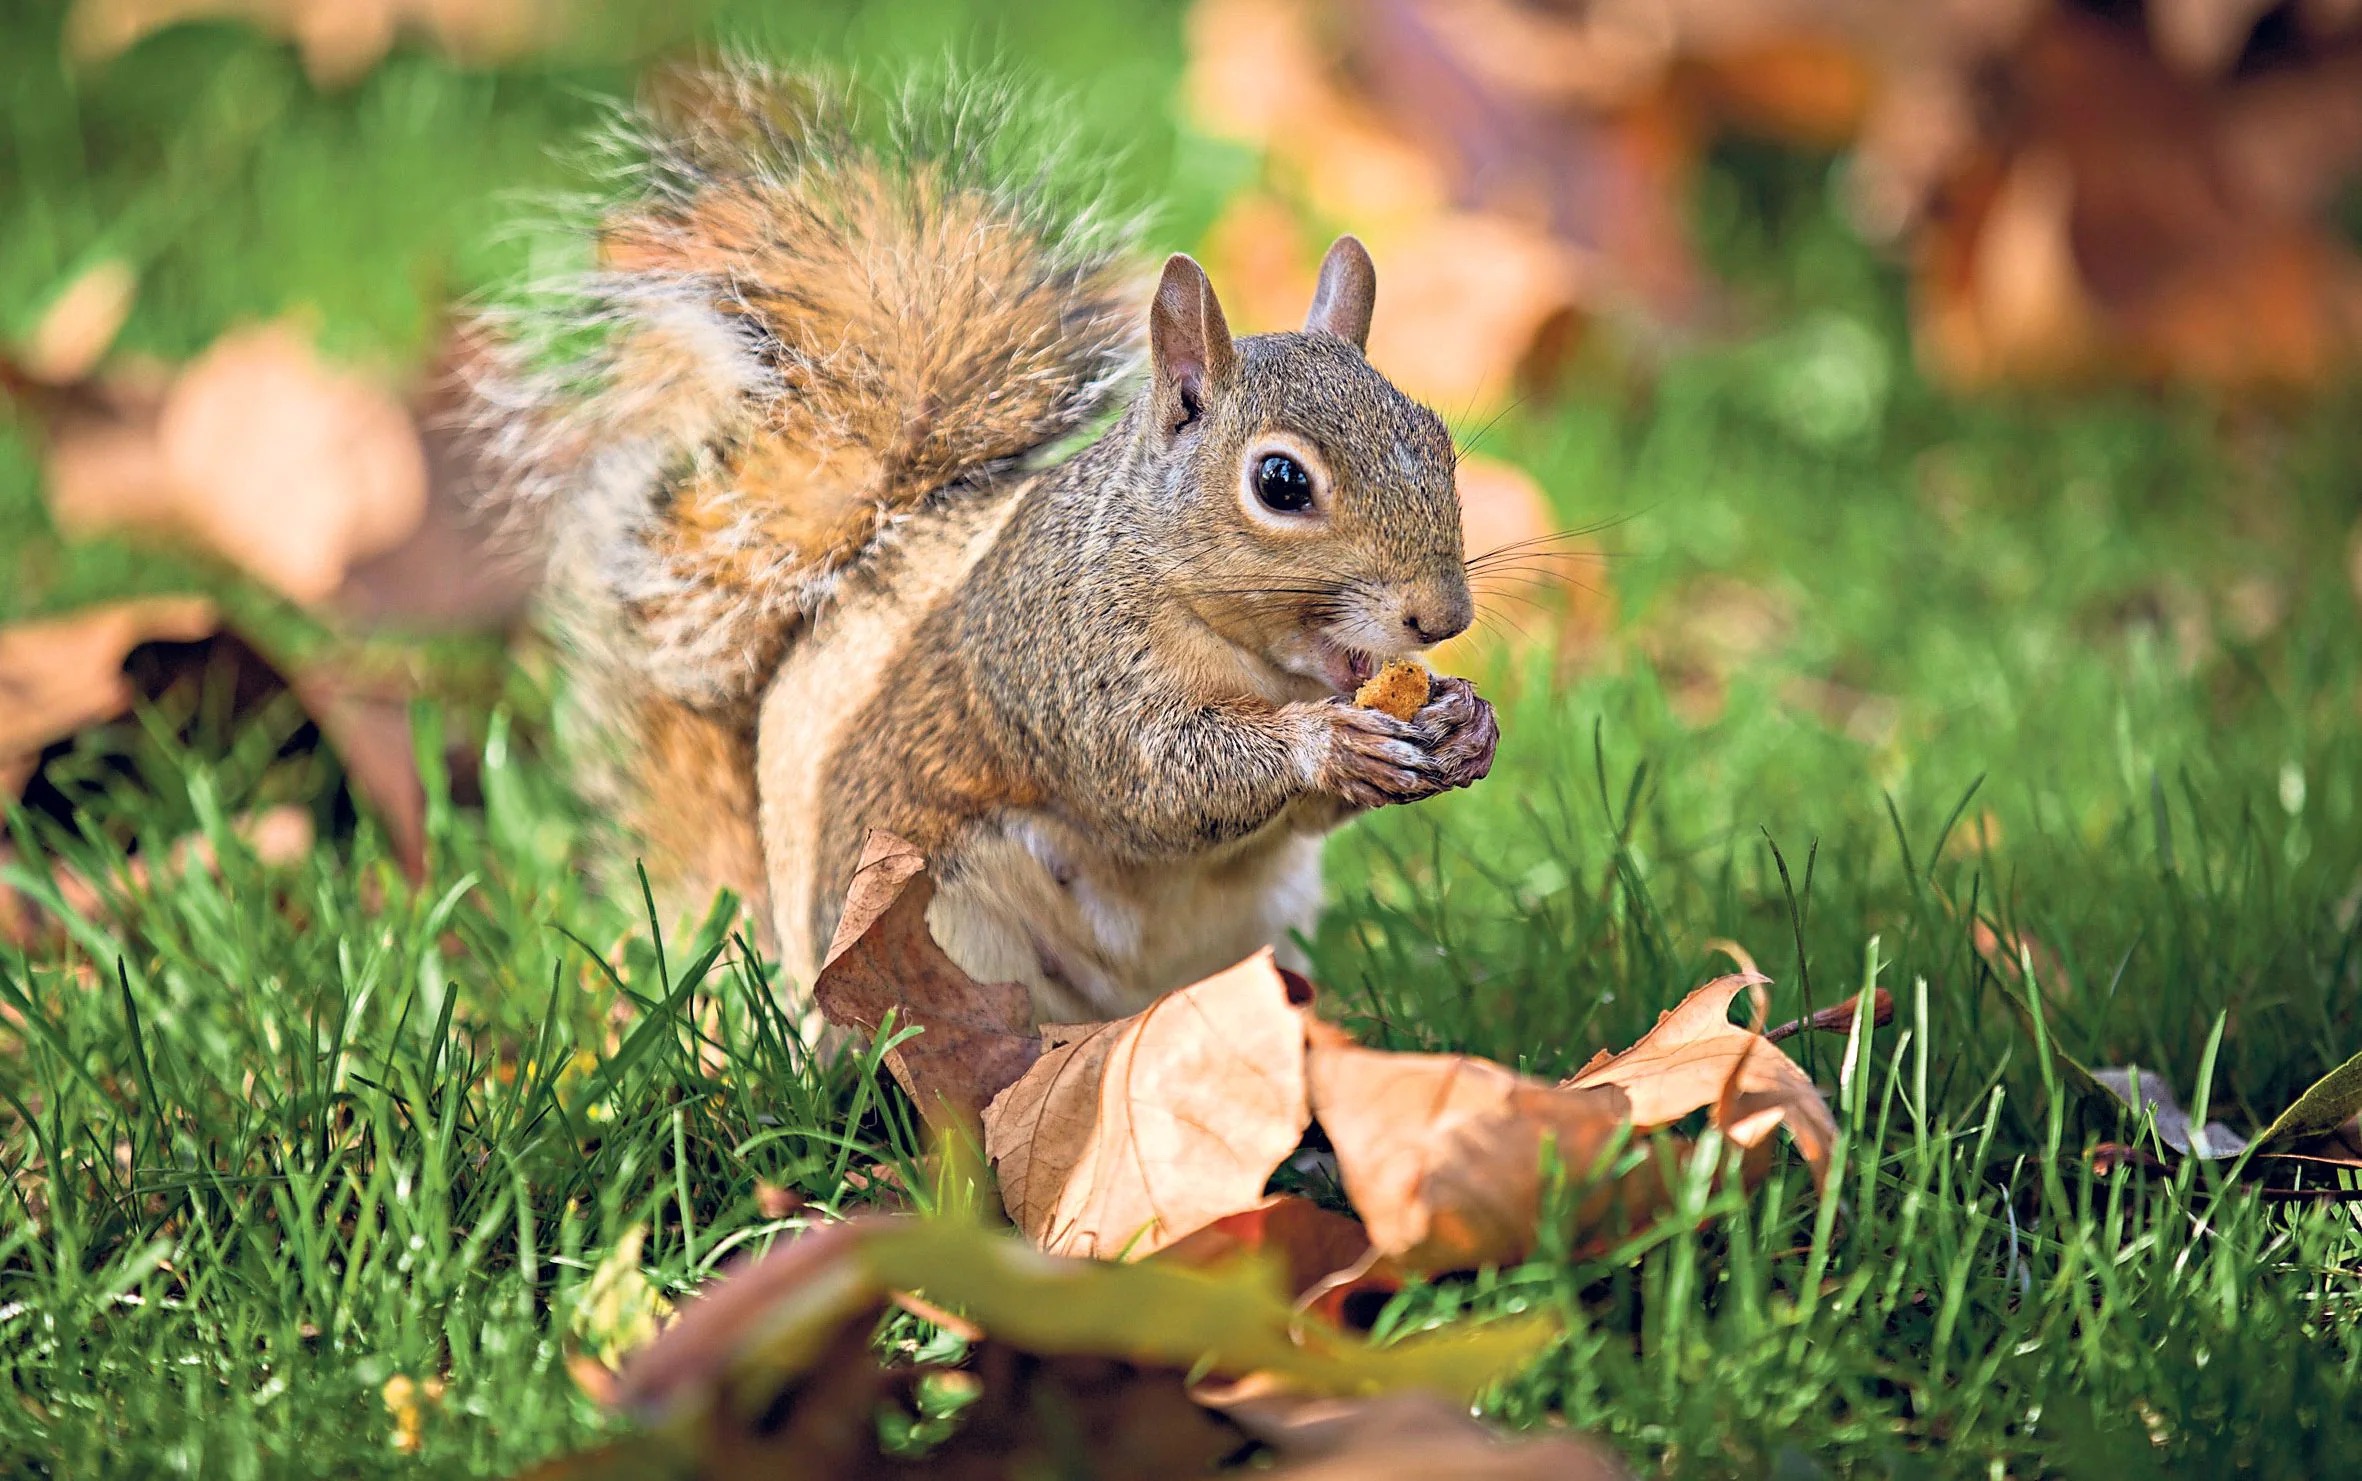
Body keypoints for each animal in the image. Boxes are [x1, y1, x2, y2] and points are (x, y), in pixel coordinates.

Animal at [470, 64, 1499, 1023]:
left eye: (1439, 440)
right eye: (1281, 483)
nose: (1442, 616)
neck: (1256, 655)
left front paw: (1464, 722)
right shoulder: (1061, 656)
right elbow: (1155, 777)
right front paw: (1325, 741)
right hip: (943, 926)